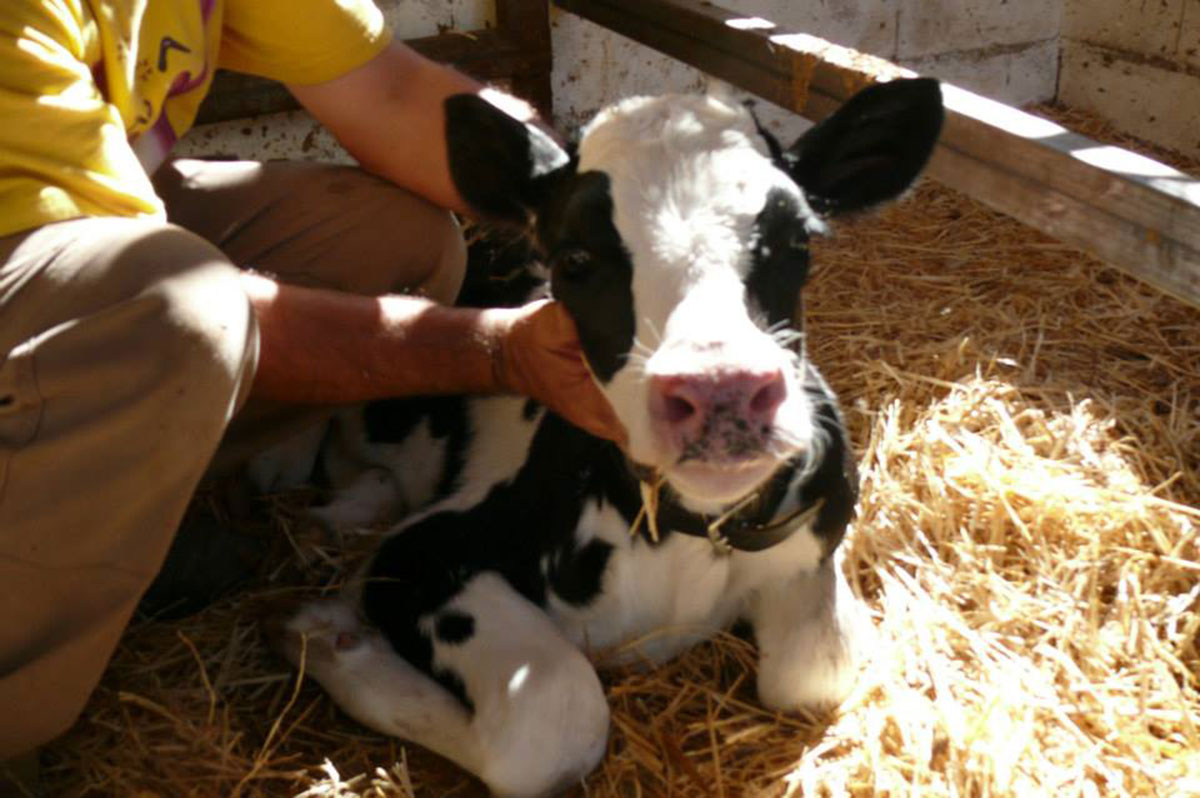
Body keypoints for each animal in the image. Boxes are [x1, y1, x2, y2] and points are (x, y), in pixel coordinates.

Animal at [267, 78, 944, 797]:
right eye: (575, 258)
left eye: (798, 244)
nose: (722, 391)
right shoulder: (421, 552)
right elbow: (555, 713)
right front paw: (327, 637)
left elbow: (816, 669)